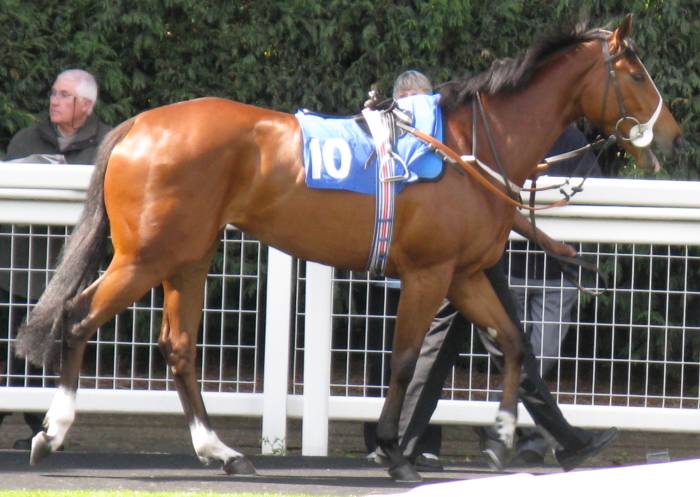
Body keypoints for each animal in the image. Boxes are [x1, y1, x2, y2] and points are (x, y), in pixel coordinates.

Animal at [16, 15, 682, 482]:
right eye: (636, 74)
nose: (673, 135)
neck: (468, 146)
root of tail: (139, 124)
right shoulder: (428, 273)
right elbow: (407, 359)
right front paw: (395, 450)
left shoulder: (465, 273)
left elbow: (514, 343)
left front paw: (501, 435)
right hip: (145, 256)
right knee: (77, 319)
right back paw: (53, 433)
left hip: (188, 257)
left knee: (177, 348)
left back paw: (222, 451)